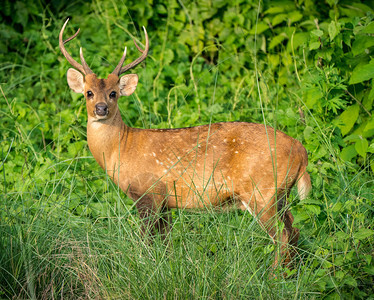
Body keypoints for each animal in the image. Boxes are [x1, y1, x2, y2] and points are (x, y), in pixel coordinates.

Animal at [57, 18, 310, 268]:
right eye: (89, 93)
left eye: (113, 93)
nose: (101, 109)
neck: (121, 149)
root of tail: (301, 151)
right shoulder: (166, 202)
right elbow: (166, 242)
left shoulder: (148, 192)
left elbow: (146, 242)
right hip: (279, 194)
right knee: (294, 229)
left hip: (262, 191)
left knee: (282, 235)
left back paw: (273, 274)